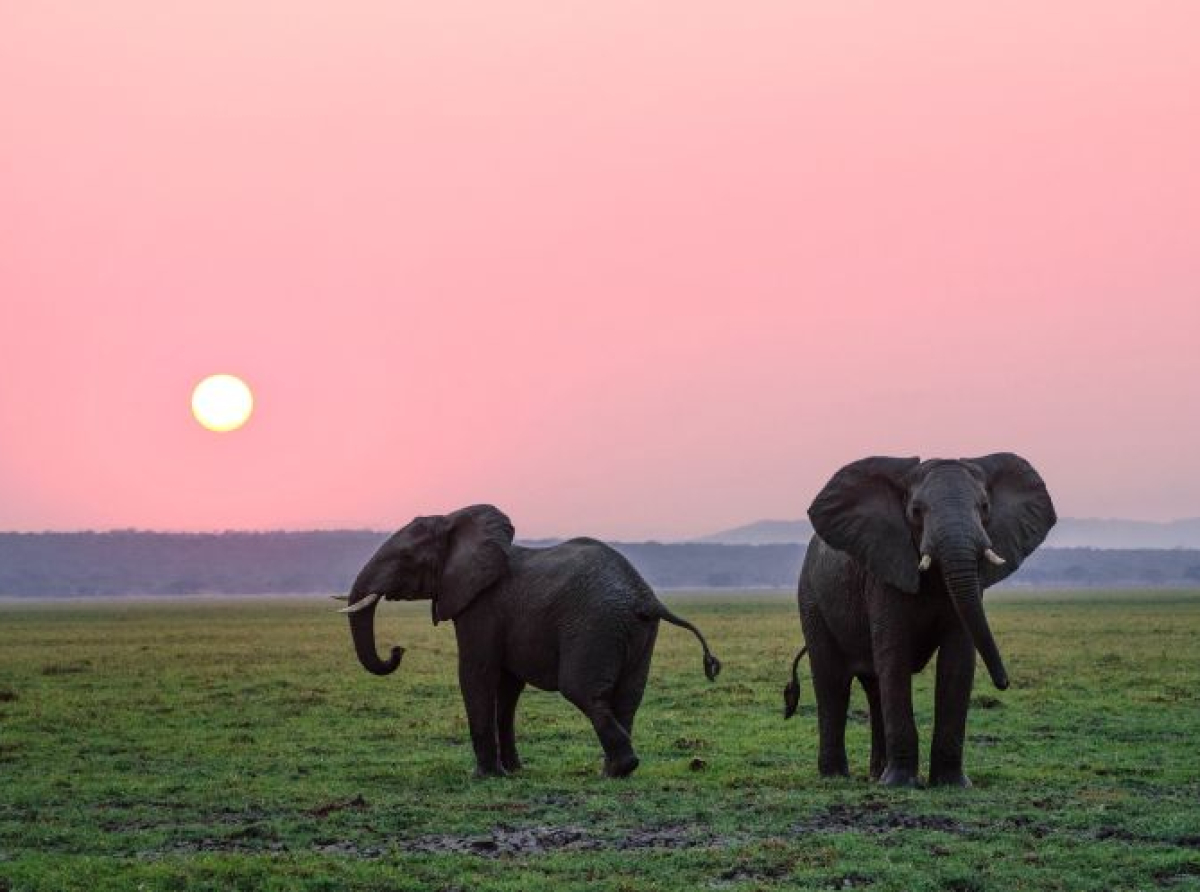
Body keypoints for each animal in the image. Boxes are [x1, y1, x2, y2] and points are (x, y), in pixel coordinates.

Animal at [338, 506, 720, 777]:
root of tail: (646, 597)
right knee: (627, 697)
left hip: (595, 625)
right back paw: (614, 771)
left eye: (405, 559)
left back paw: (618, 769)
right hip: (637, 631)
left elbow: (477, 673)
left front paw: (485, 776)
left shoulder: (481, 605)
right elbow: (508, 688)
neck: (454, 521)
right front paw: (514, 771)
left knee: (582, 691)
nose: (397, 650)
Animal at [782, 453, 1056, 787]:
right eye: (915, 511)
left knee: (874, 687)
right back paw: (837, 777)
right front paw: (900, 784)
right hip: (811, 598)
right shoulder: (884, 570)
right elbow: (895, 657)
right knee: (833, 681)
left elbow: (957, 660)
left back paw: (876, 775)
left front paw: (952, 784)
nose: (1004, 682)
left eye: (984, 507)